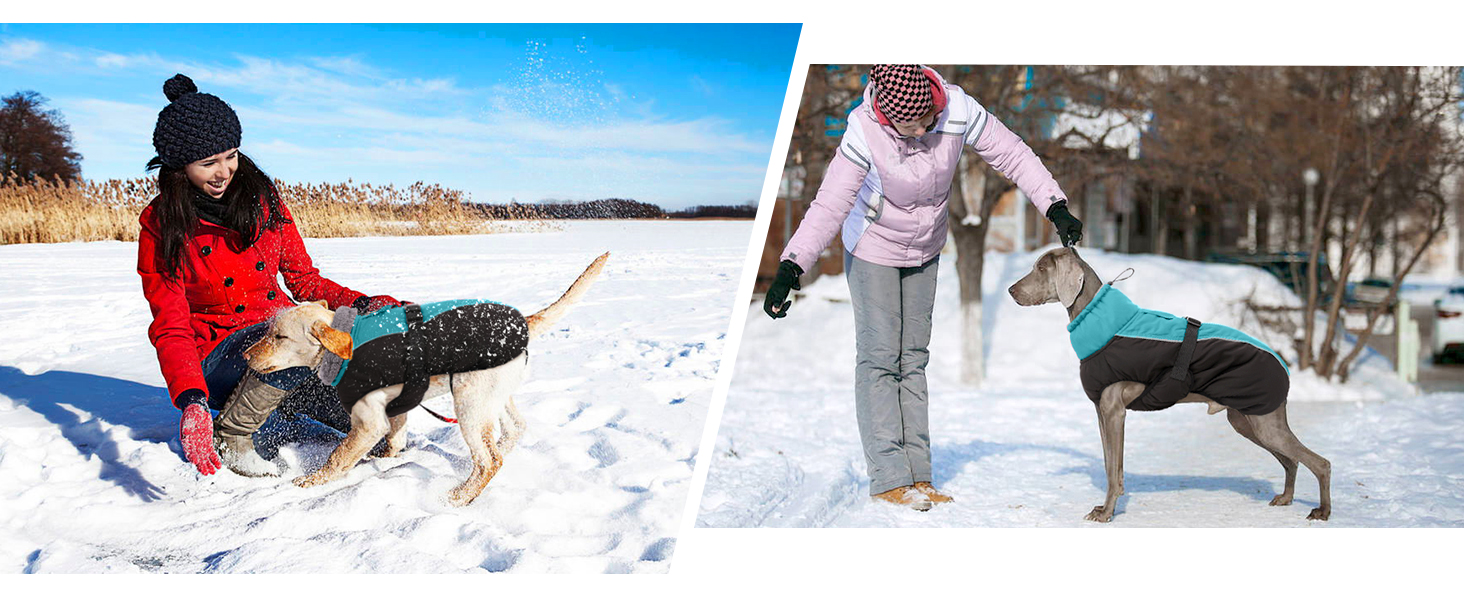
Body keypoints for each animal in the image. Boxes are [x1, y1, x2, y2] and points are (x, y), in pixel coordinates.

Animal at [1013, 245, 1335, 523]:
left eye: (1041, 268)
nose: (1011, 290)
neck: (1102, 320)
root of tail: (1283, 365)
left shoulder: (1114, 410)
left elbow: (1112, 469)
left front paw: (1106, 513)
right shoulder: (1102, 411)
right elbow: (1110, 464)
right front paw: (1107, 507)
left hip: (1263, 421)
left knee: (1320, 463)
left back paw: (1322, 511)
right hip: (1246, 419)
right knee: (1292, 461)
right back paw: (1286, 498)